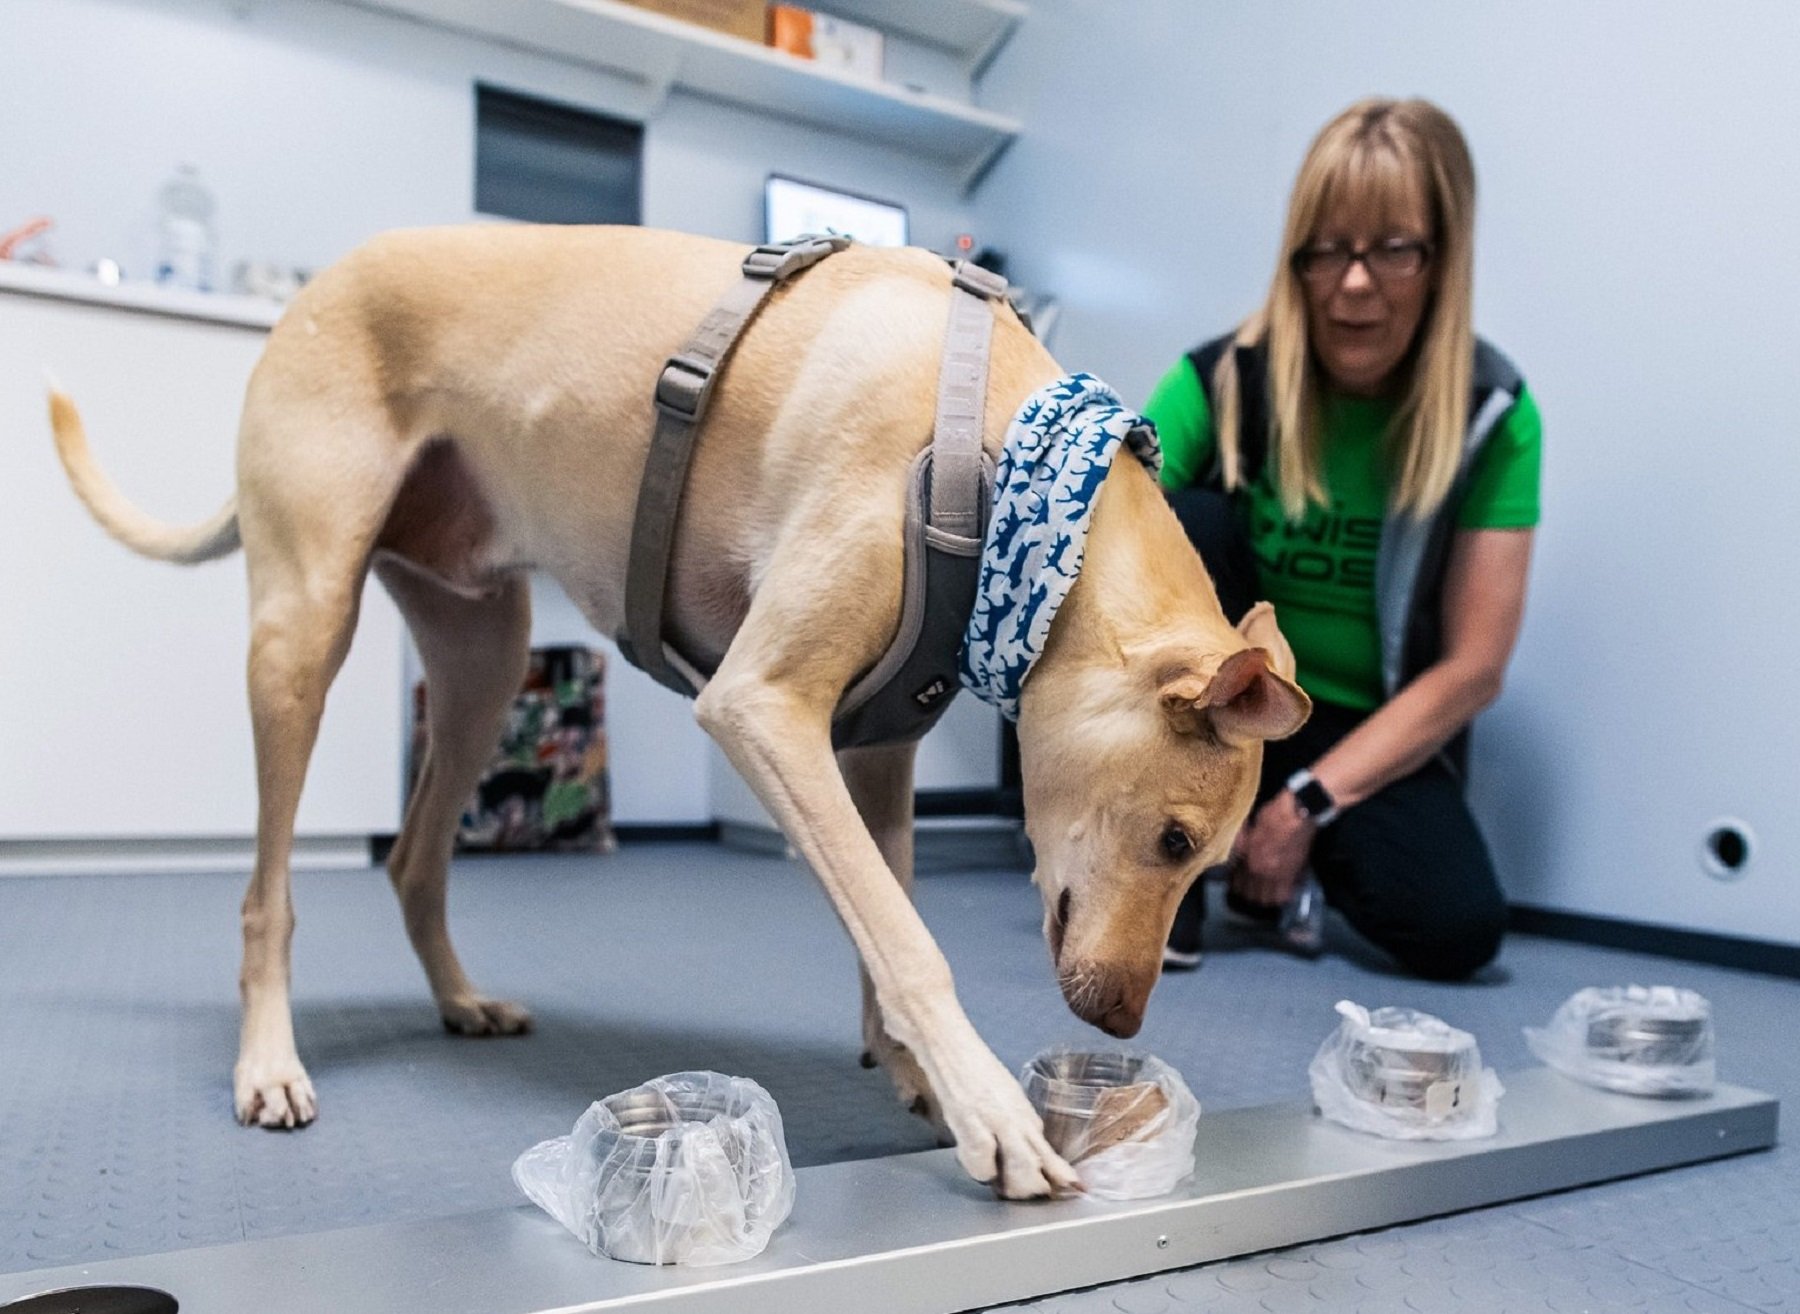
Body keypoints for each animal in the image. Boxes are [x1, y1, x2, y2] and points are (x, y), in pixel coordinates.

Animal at [45, 227, 1310, 1195]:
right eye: (1175, 840)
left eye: (1206, 863)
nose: (1121, 1027)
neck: (1019, 480)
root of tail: (317, 281)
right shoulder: (762, 709)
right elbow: (908, 942)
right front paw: (989, 1105)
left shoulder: (879, 750)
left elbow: (884, 912)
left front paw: (913, 1074)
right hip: (301, 633)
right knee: (267, 897)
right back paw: (268, 1063)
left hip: (483, 661)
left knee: (413, 859)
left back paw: (460, 1000)